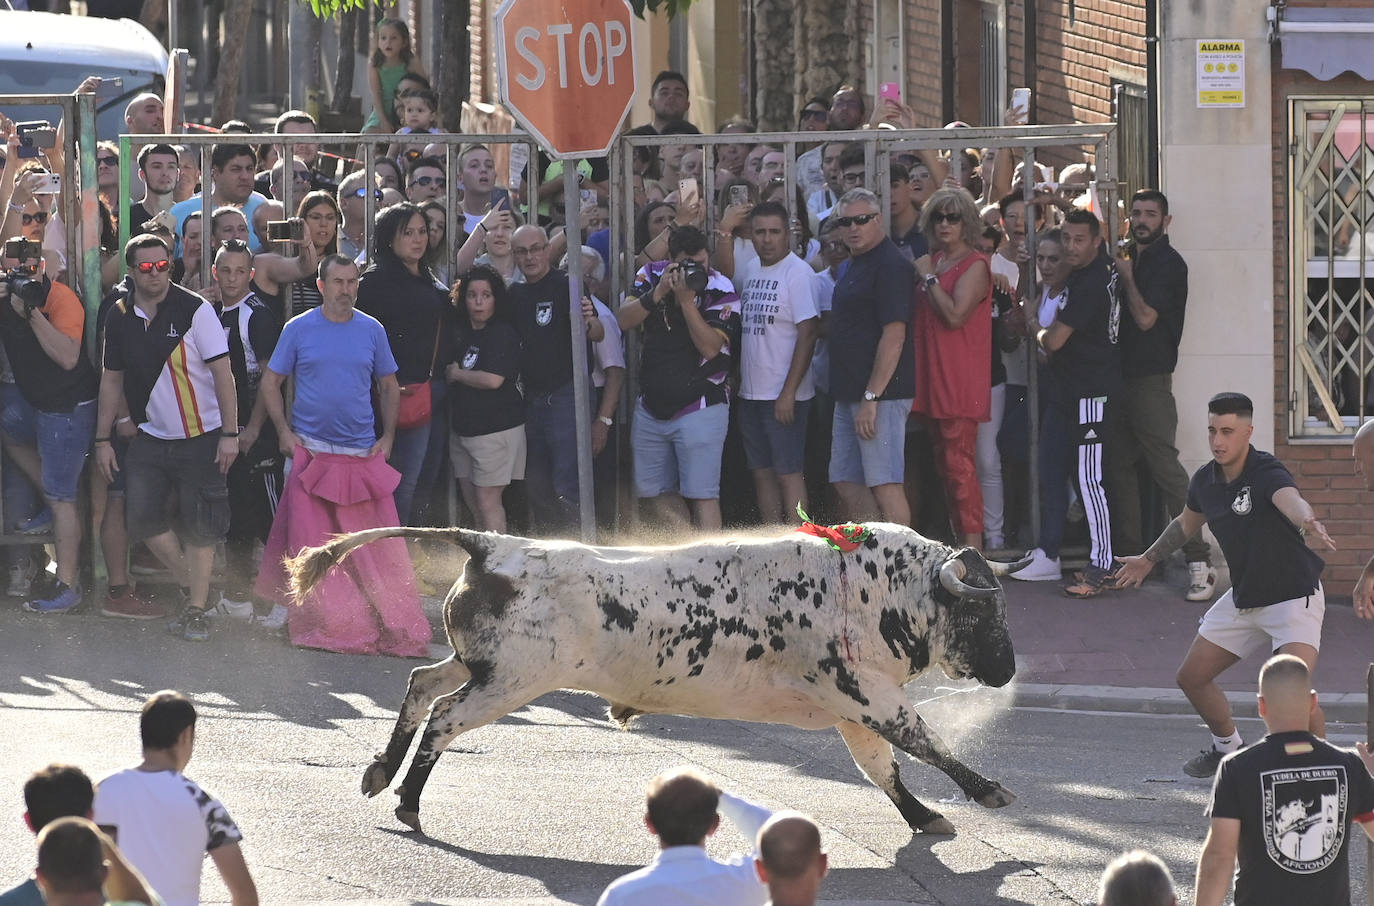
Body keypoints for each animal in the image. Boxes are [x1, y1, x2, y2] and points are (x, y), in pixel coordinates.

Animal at [289, 525, 1033, 835]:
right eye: (982, 612)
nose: (1007, 671)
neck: (876, 587)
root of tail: (490, 546)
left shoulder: (857, 709)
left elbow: (885, 771)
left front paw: (926, 817)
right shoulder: (870, 697)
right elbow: (927, 745)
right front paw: (989, 792)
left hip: (480, 667)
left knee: (421, 684)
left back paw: (379, 774)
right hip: (509, 683)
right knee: (444, 717)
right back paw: (407, 803)